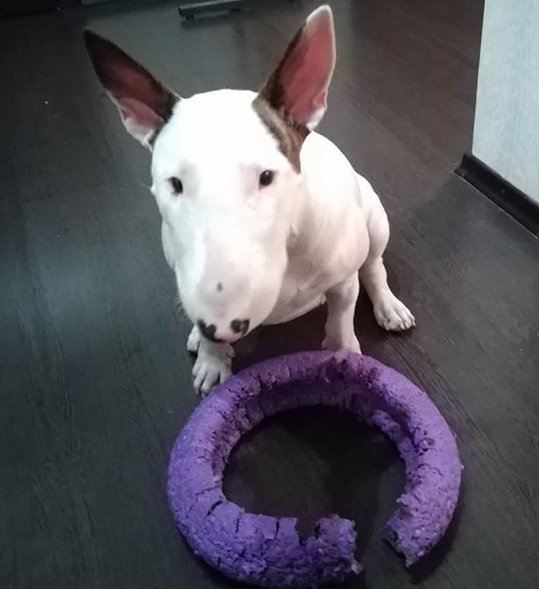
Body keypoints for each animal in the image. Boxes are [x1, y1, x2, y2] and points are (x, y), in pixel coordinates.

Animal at [84, 4, 416, 392]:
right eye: (175, 184)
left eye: (267, 177)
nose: (223, 325)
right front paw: (212, 359)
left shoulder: (343, 280)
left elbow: (341, 320)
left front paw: (344, 357)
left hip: (375, 219)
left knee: (374, 265)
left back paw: (389, 306)